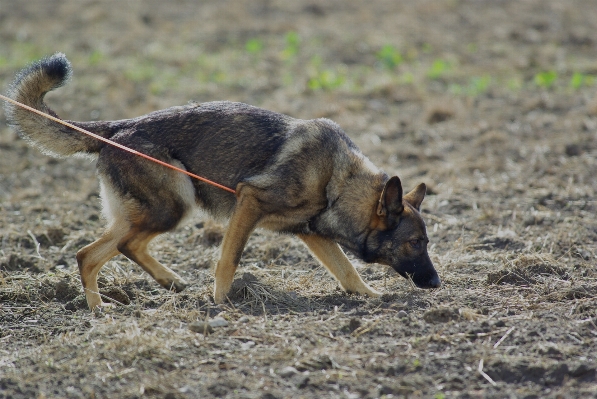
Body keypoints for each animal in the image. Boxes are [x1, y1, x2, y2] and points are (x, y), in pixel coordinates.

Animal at [3, 52, 438, 310]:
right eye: (415, 243)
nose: (436, 283)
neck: (338, 182)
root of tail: (118, 128)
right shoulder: (249, 202)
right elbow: (228, 259)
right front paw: (220, 301)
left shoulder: (311, 233)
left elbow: (347, 270)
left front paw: (370, 296)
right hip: (173, 206)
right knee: (106, 250)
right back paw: (106, 306)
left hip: (153, 212)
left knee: (99, 251)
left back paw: (137, 294)